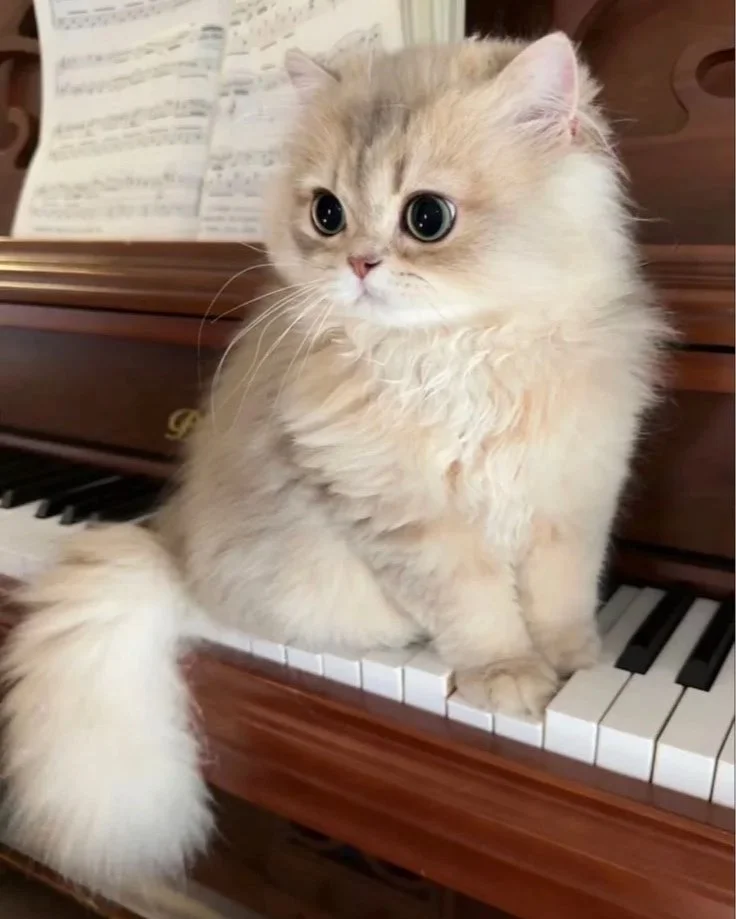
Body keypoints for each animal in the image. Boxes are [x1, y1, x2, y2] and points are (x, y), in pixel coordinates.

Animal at [0, 32, 668, 898]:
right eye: (327, 212)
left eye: (427, 216)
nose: (358, 263)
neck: (459, 352)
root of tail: (172, 545)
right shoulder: (410, 518)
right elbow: (481, 607)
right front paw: (510, 677)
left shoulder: (574, 496)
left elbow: (560, 597)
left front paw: (574, 663)